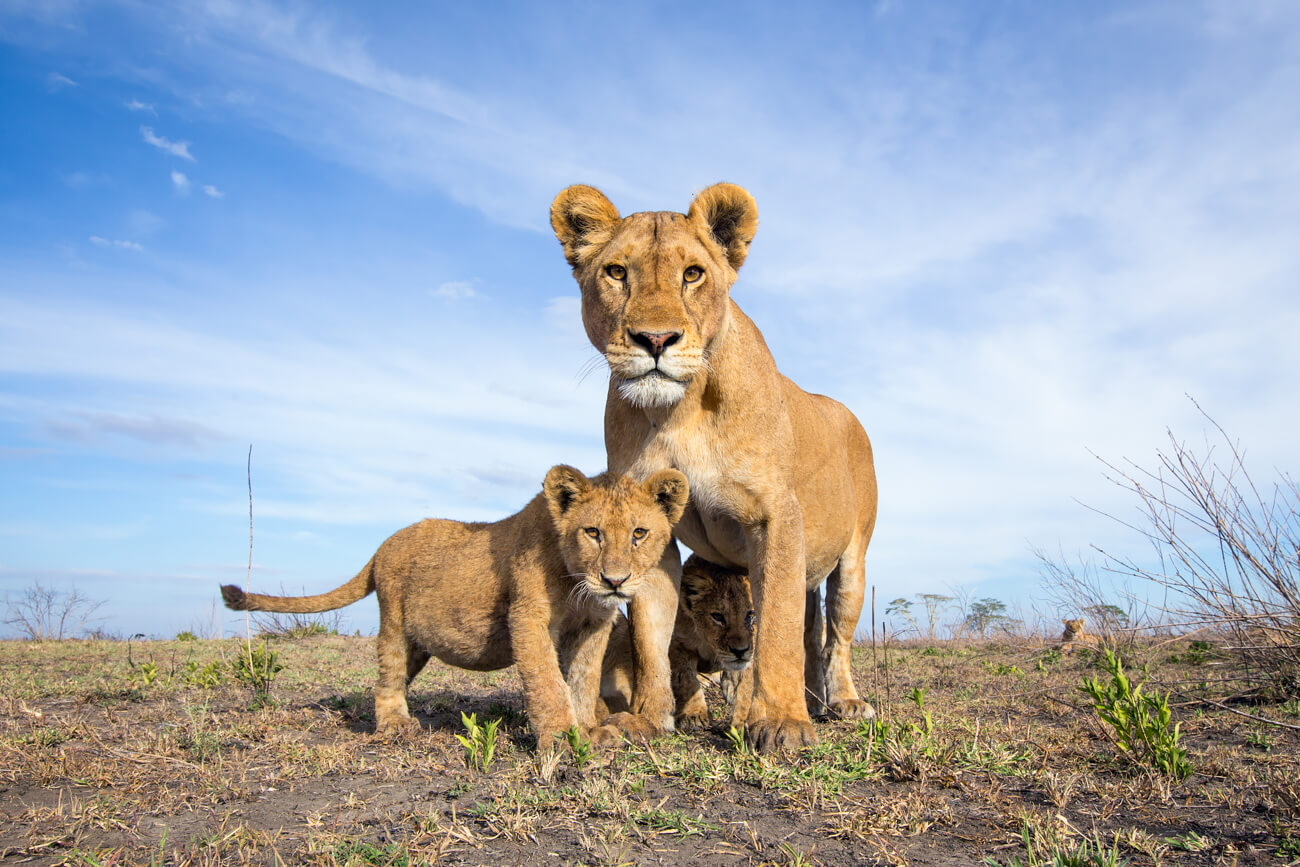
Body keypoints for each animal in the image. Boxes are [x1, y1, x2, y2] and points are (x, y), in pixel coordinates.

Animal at [553, 183, 878, 753]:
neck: (678, 410)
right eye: (616, 272)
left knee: (835, 636)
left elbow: (774, 628)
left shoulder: (776, 516)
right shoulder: (652, 532)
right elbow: (651, 638)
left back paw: (841, 703)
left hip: (853, 562)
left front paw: (781, 723)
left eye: (692, 274)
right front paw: (648, 718)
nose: (655, 340)